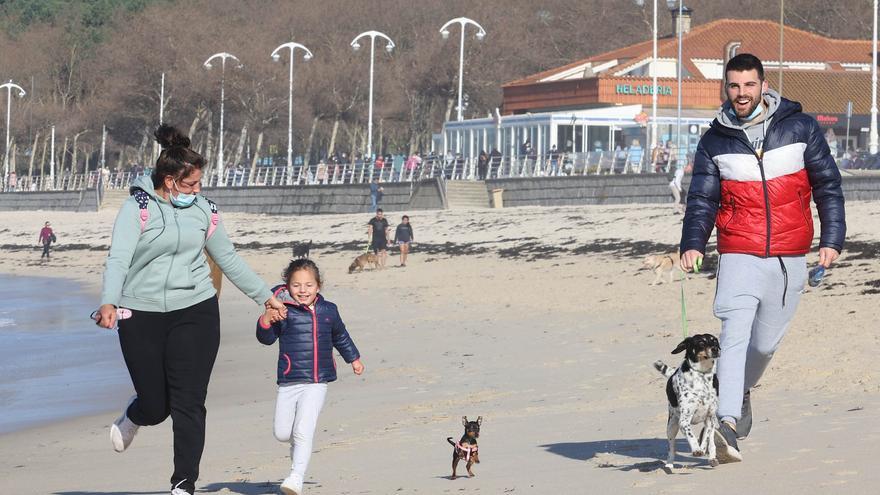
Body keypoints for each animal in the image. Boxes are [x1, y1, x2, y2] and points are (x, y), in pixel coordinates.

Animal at [652, 334, 720, 468]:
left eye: (715, 341)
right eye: (701, 343)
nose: (715, 349)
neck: (702, 375)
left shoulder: (710, 417)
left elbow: (707, 438)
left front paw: (705, 452)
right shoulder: (684, 421)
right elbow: (691, 435)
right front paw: (696, 449)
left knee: (709, 438)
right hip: (671, 426)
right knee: (671, 448)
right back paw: (669, 465)